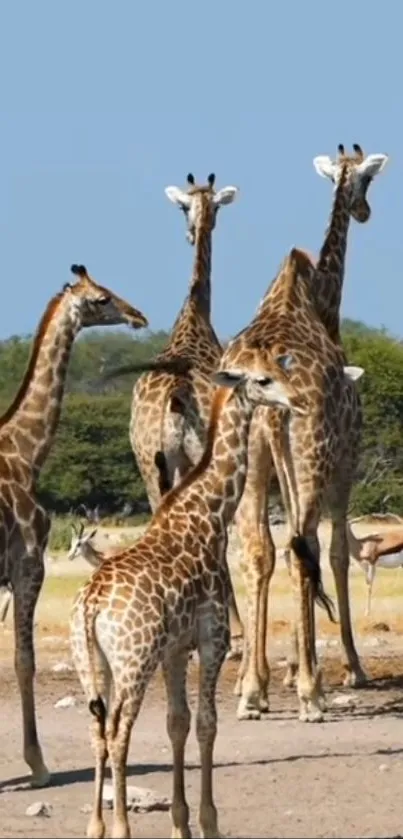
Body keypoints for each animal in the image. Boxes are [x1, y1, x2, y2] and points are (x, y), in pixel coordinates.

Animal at [0, 264, 148, 788]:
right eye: (102, 298)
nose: (138, 315)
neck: (28, 453)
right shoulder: (28, 563)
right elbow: (24, 662)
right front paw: (38, 764)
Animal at [117, 174, 243, 652]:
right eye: (183, 209)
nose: (191, 231)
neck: (194, 314)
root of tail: (176, 396)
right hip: (186, 459)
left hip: (148, 463)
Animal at [219, 240, 384, 724]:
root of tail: (268, 402)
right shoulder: (345, 468)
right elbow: (336, 554)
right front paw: (347, 671)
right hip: (313, 463)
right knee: (304, 548)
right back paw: (311, 694)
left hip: (250, 464)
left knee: (260, 551)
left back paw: (253, 692)